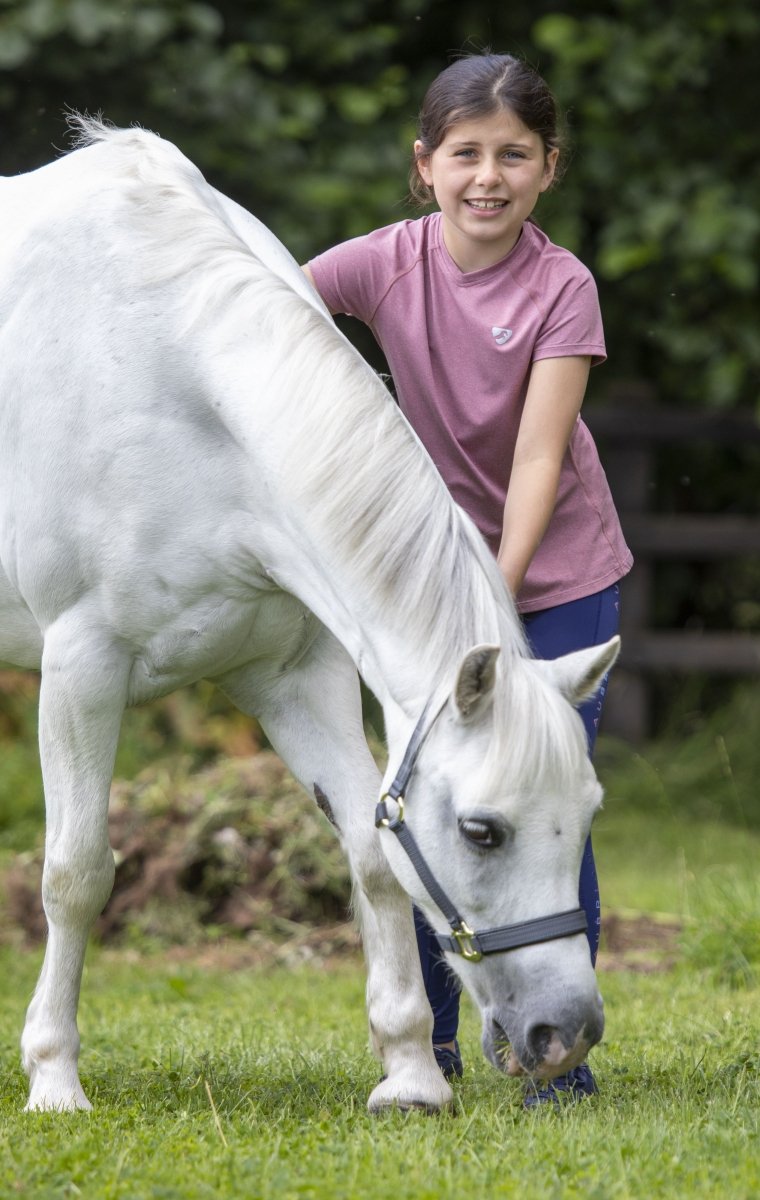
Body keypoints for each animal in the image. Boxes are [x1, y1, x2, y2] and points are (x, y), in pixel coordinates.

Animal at [0, 121, 614, 1113]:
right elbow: (76, 873)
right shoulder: (81, 669)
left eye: (588, 810)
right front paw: (54, 1077)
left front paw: (410, 1072)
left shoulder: (295, 680)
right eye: (483, 830)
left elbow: (370, 858)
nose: (567, 1033)